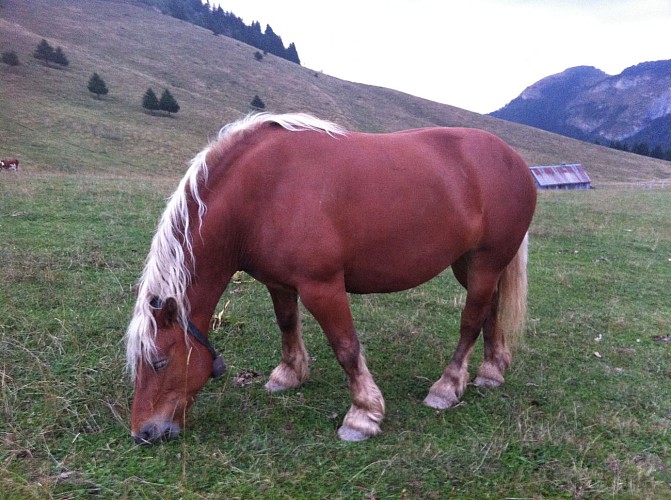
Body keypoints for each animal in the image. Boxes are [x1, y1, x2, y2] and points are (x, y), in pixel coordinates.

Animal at [124, 111, 536, 444]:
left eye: (159, 361)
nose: (143, 433)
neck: (262, 191)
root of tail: (516, 161)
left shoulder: (321, 287)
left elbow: (346, 347)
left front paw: (363, 415)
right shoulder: (279, 283)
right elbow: (287, 324)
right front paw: (288, 375)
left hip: (485, 262)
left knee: (471, 320)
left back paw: (447, 387)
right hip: (471, 265)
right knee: (491, 308)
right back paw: (491, 370)